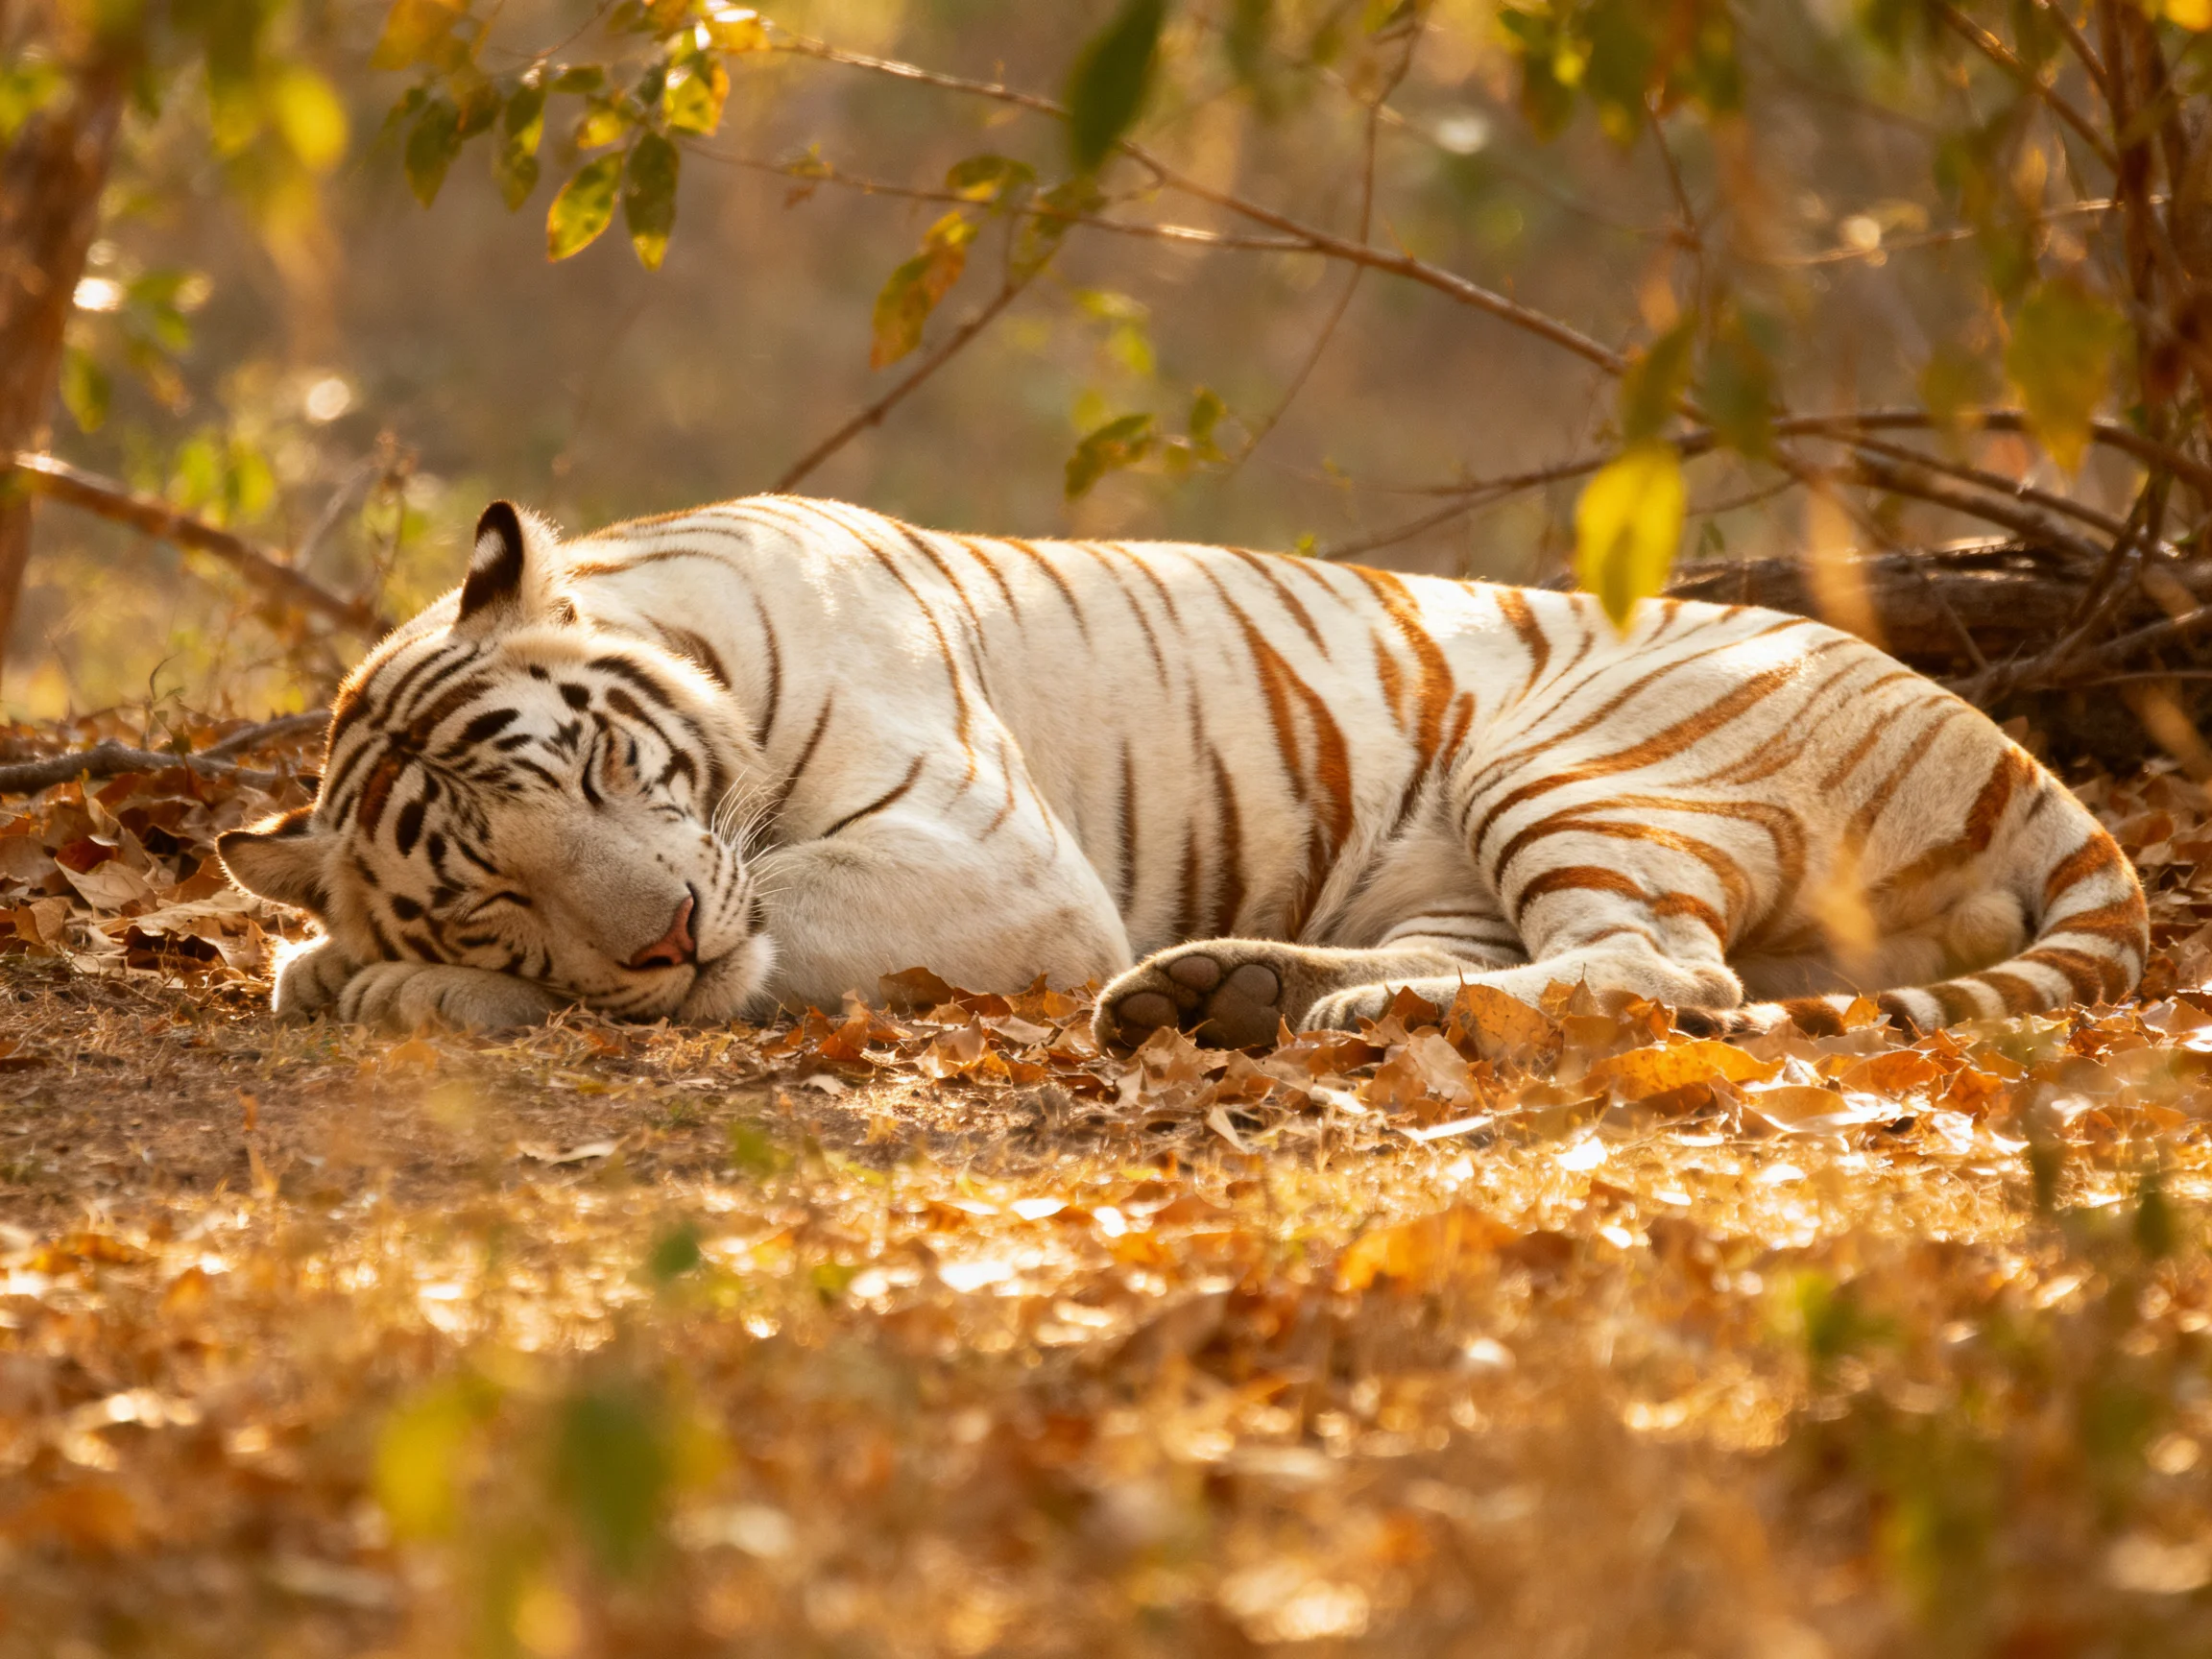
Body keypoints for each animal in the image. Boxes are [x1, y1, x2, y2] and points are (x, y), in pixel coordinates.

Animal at [216, 494, 2149, 1052]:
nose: (661, 933)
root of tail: (2023, 764)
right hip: (1453, 864)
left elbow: (752, 942)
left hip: (1582, 766)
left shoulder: (986, 861)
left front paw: (387, 990)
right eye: (491, 884)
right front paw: (343, 962)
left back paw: (1341, 1019)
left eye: (607, 781)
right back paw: (1232, 996)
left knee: (1660, 971)